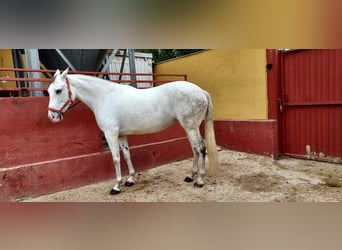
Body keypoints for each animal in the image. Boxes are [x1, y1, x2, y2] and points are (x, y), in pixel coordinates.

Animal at [47, 69, 219, 195]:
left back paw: (200, 180)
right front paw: (130, 179)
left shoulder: (111, 134)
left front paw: (116, 186)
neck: (104, 98)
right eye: (48, 91)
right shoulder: (121, 135)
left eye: (58, 90)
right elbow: (126, 155)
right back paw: (190, 176)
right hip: (189, 127)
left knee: (200, 148)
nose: (52, 116)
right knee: (195, 149)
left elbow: (116, 158)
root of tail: (201, 91)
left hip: (191, 127)